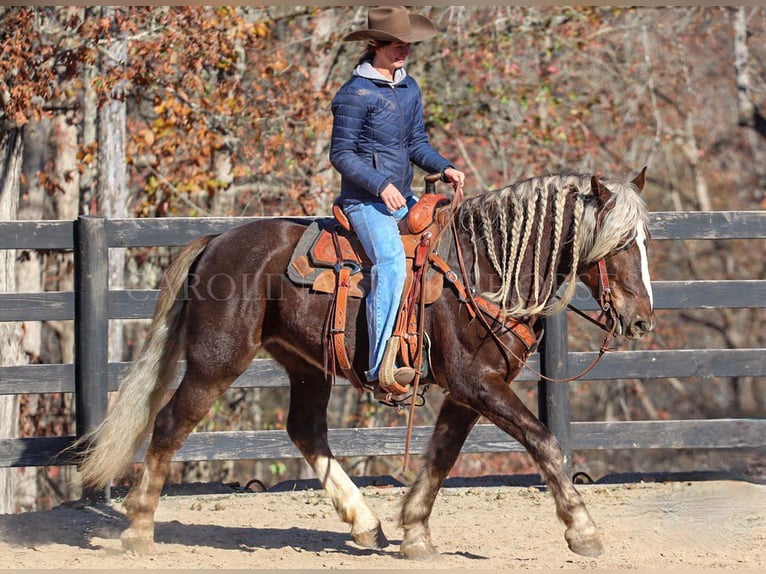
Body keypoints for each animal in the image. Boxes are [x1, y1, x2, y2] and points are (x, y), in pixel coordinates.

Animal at [75, 168, 656, 564]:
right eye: (621, 244)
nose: (642, 320)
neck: (486, 272)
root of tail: (215, 241)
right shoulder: (477, 384)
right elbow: (544, 441)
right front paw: (583, 530)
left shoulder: (470, 391)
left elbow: (442, 456)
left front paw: (415, 532)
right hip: (216, 360)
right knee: (171, 423)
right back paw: (138, 529)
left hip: (305, 364)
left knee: (306, 430)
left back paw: (365, 524)